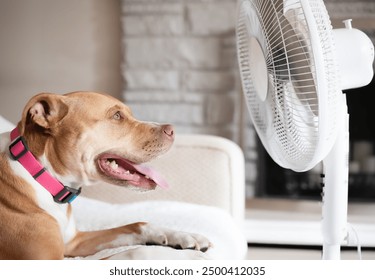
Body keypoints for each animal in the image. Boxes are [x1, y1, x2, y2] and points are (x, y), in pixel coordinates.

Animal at [0, 92, 212, 260]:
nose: (172, 130)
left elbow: (137, 225)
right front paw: (187, 257)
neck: (41, 174)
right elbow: (135, 252)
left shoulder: (75, 242)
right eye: (117, 116)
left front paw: (184, 235)